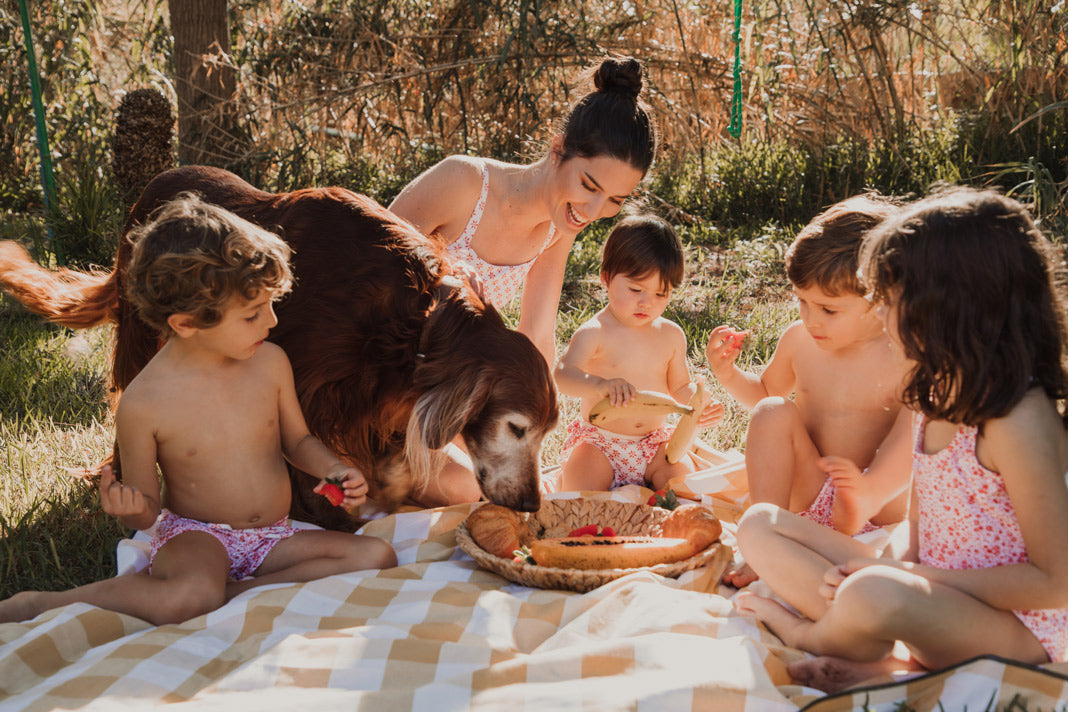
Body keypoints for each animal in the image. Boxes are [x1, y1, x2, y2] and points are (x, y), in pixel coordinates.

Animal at [4, 165, 559, 529]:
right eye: (517, 428)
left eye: (547, 433)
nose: (532, 504)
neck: (416, 316)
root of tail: (152, 186)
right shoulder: (308, 387)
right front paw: (326, 519)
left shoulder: (378, 400)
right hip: (141, 336)